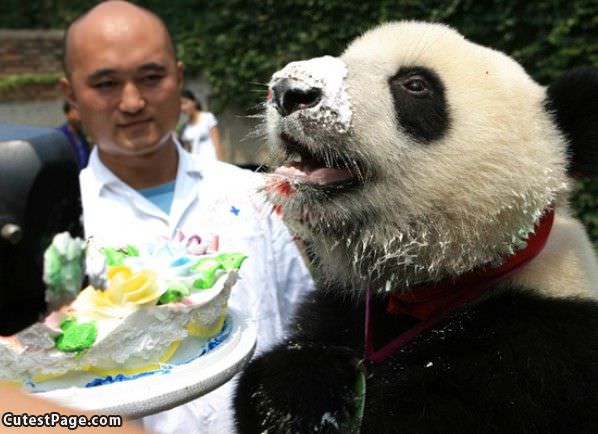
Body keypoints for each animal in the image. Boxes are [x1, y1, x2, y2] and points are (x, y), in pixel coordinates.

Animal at [233, 22, 598, 432]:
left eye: (416, 84)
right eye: (346, 55)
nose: (288, 90)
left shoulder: (541, 353)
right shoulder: (345, 306)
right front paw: (305, 386)